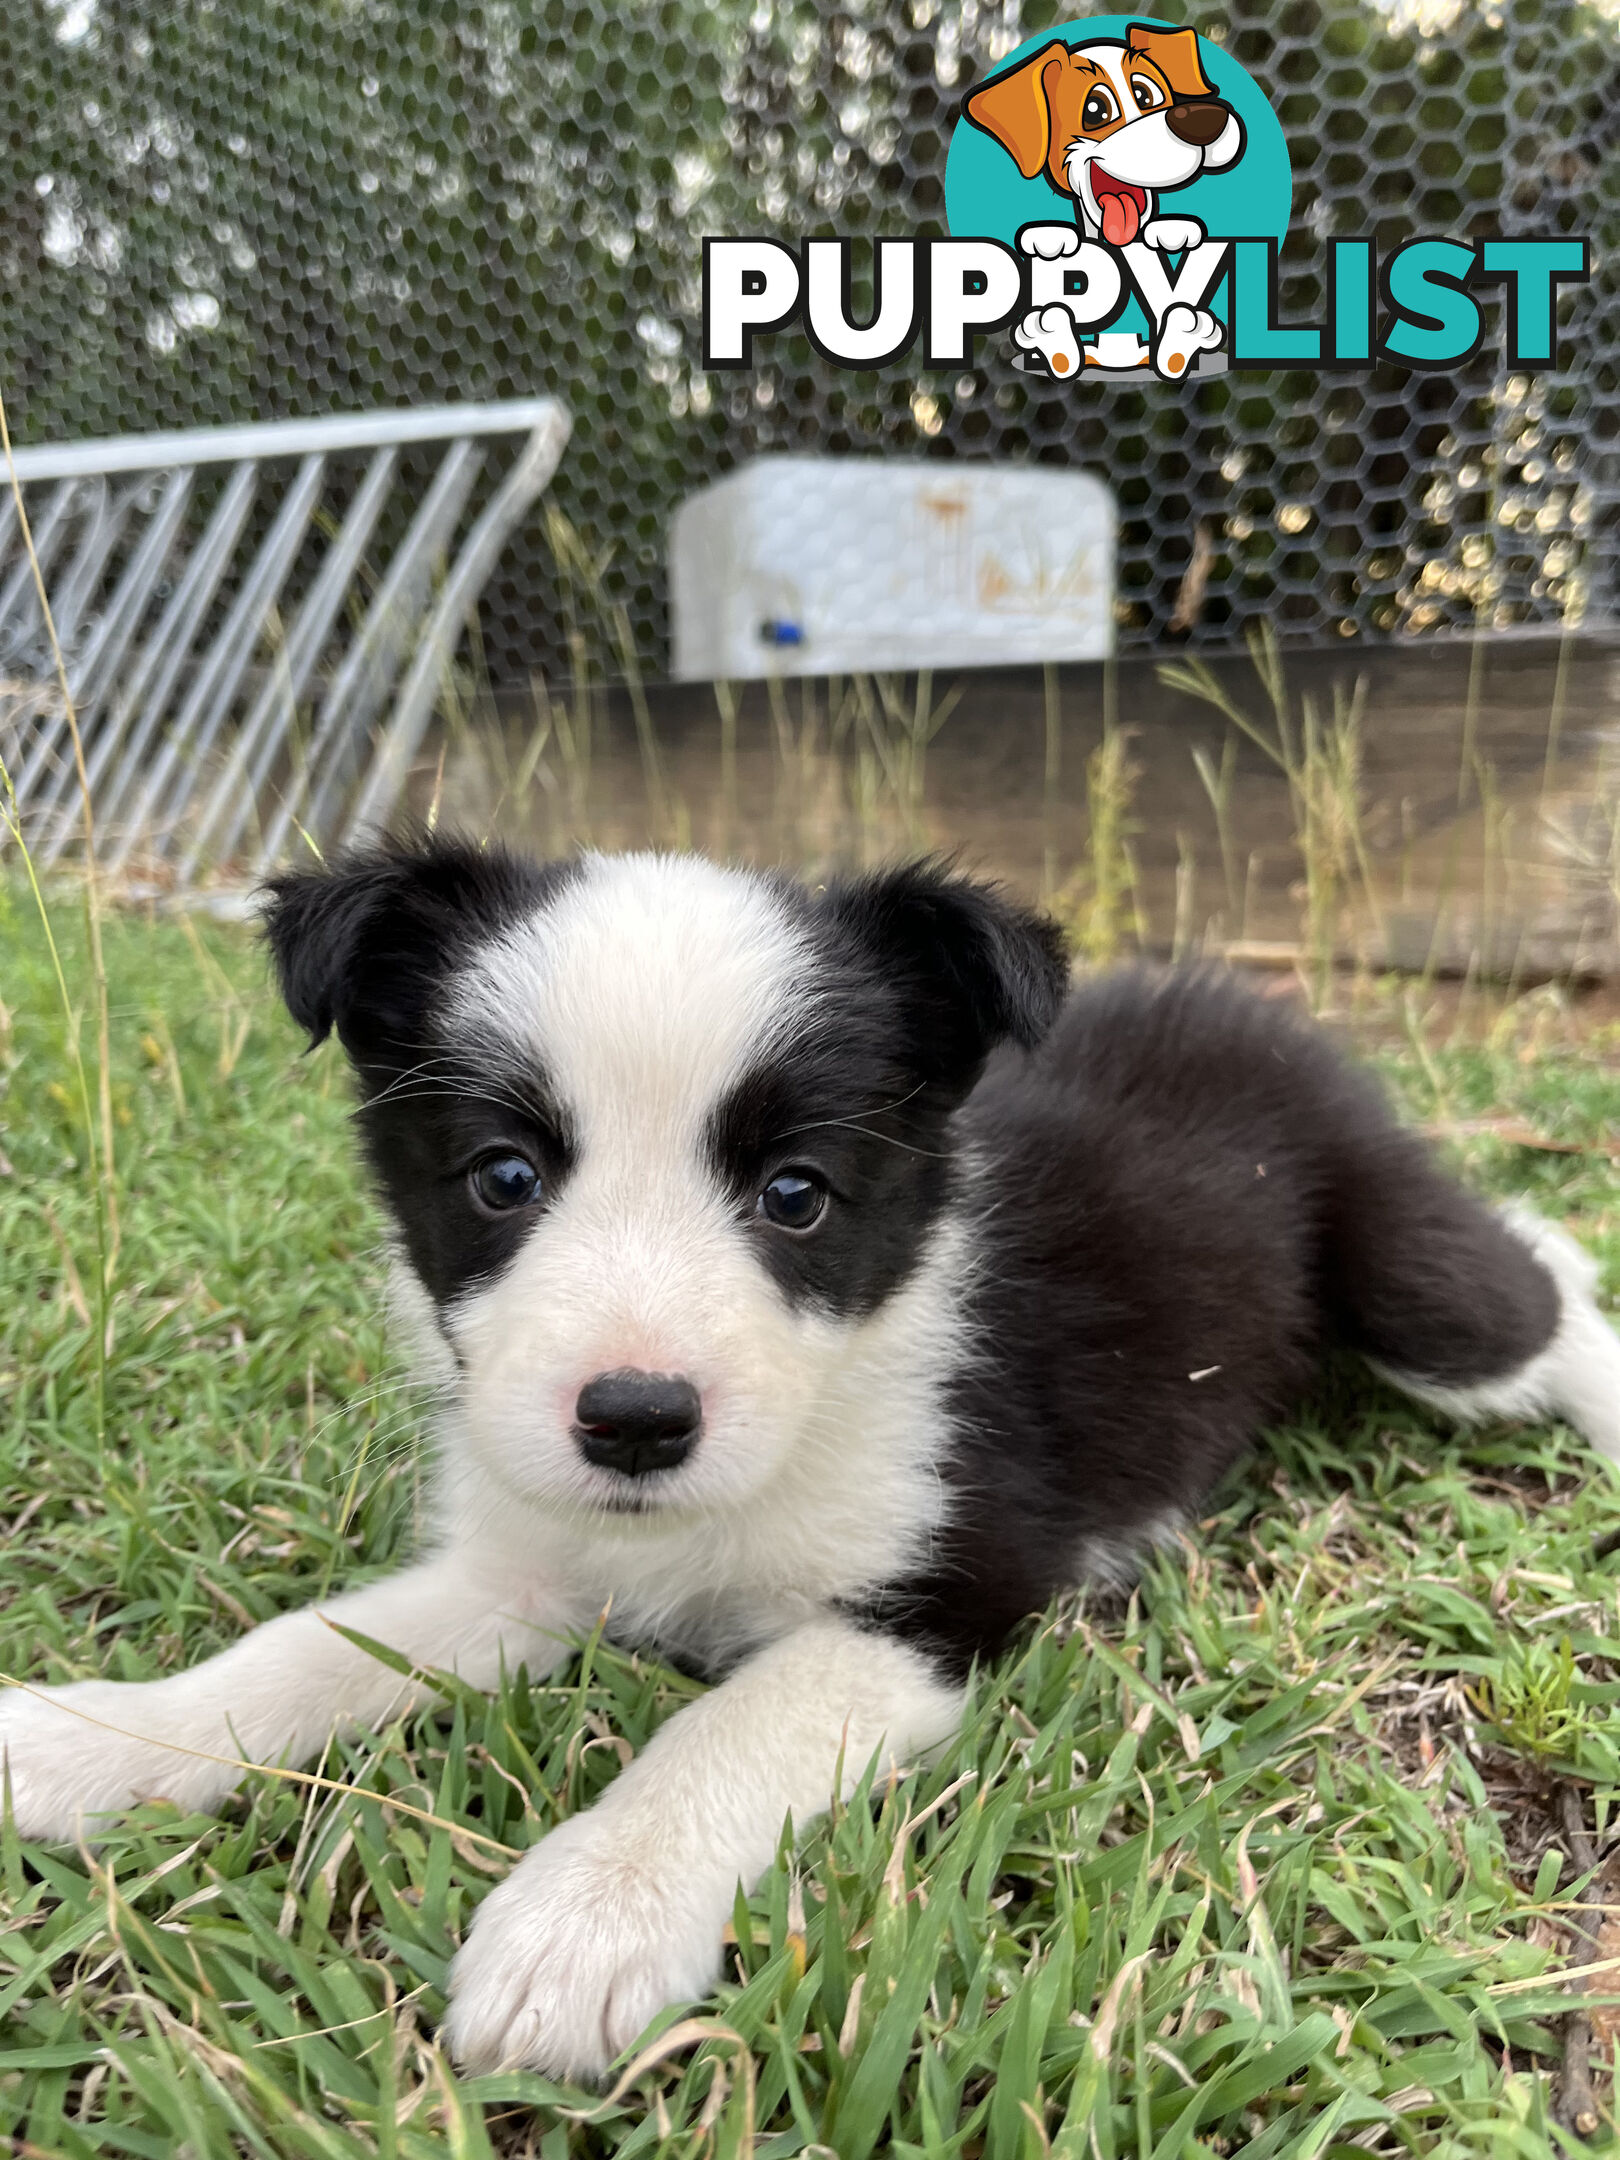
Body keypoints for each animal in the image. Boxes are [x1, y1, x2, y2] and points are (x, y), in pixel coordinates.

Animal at [3, 833, 1620, 2082]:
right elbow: (309, 1649)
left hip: (1410, 1287)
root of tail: (1244, 1000)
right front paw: (95, 1740)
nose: (635, 1418)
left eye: (797, 1195)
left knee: (1531, 1273)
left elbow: (727, 1726)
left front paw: (584, 1919)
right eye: (503, 1177)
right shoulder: (527, 1565)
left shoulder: (946, 1591)